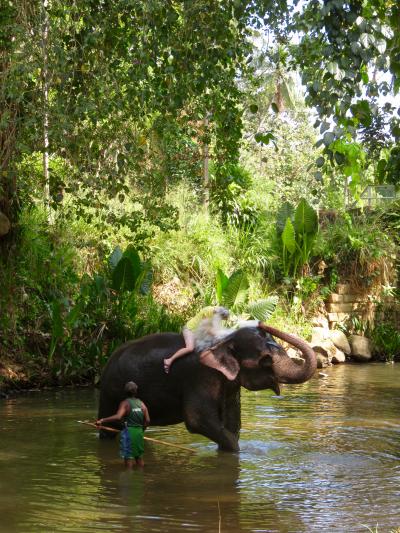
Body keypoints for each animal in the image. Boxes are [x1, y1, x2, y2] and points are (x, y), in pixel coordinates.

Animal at [97, 322, 316, 450]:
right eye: (266, 361)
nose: (262, 323)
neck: (224, 340)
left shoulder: (230, 383)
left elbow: (232, 422)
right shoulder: (200, 376)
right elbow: (198, 419)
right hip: (111, 392)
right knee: (109, 428)